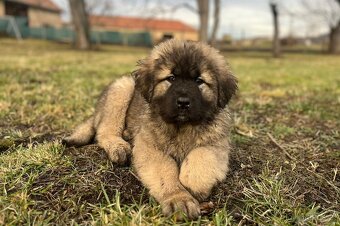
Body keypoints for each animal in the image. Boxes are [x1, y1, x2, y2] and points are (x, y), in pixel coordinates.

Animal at [65, 39, 238, 220]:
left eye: (199, 81)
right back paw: (119, 147)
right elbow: (166, 170)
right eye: (171, 78)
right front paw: (178, 198)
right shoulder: (149, 147)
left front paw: (192, 184)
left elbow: (201, 155)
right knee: (104, 131)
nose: (183, 102)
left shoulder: (217, 144)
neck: (181, 127)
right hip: (122, 88)